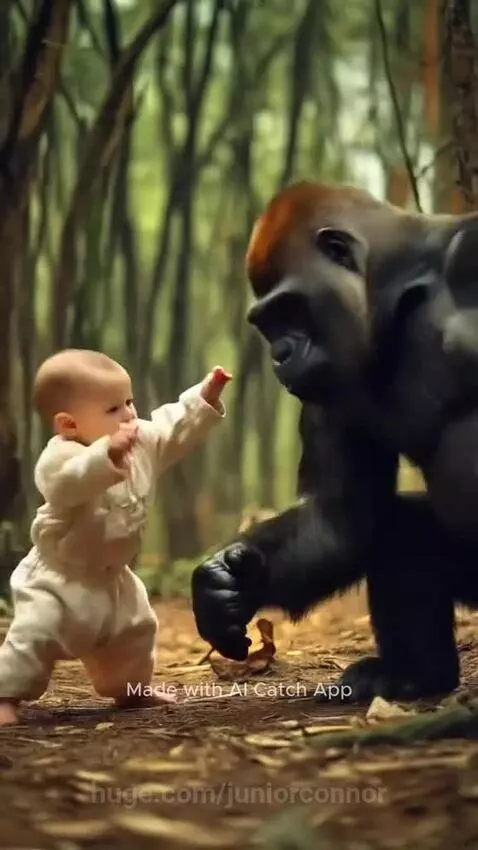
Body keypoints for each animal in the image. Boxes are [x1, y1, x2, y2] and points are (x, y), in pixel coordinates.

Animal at [191, 180, 478, 702]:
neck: (403, 292)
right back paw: (414, 675)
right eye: (267, 323)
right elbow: (337, 521)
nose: (280, 355)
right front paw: (224, 582)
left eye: (290, 309)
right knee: (400, 532)